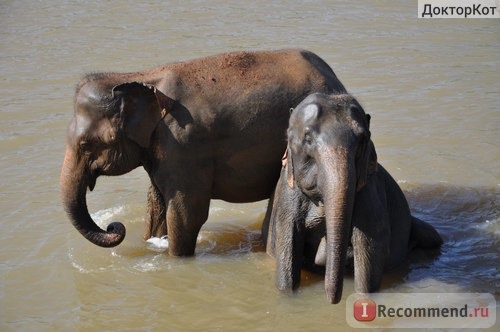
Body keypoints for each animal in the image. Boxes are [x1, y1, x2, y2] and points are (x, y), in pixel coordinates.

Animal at [59, 48, 348, 256]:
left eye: (85, 145)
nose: (115, 226)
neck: (137, 77)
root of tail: (336, 80)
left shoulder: (185, 145)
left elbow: (186, 215)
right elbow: (156, 205)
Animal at [264, 92, 444, 304]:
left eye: (362, 139)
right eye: (307, 138)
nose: (332, 301)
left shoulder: (369, 192)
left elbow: (370, 244)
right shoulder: (287, 194)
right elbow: (288, 244)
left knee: (432, 236)